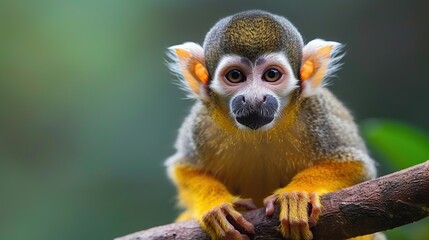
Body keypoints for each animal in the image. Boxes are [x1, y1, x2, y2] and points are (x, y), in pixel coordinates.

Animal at [165, 10, 382, 240]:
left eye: (272, 74)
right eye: (235, 76)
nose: (253, 99)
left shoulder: (319, 115)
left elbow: (358, 167)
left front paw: (298, 193)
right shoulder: (202, 123)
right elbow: (183, 169)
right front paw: (216, 205)